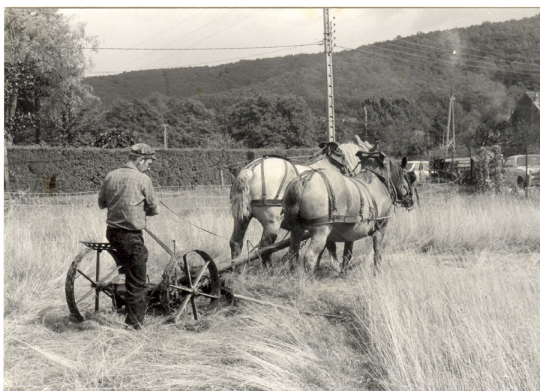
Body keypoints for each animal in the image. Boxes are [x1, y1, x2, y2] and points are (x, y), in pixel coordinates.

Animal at [228, 136, 372, 268]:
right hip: (271, 222)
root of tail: (252, 168)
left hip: (242, 218)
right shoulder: (327, 222)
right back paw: (269, 269)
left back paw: (237, 269)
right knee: (265, 246)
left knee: (236, 242)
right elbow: (330, 245)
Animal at [280, 144, 416, 276]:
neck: (378, 182)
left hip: (297, 229)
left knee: (293, 252)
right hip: (320, 230)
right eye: (408, 178)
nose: (411, 201)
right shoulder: (380, 229)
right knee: (310, 256)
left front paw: (343, 272)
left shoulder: (351, 233)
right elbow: (377, 252)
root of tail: (304, 179)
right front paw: (377, 272)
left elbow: (347, 253)